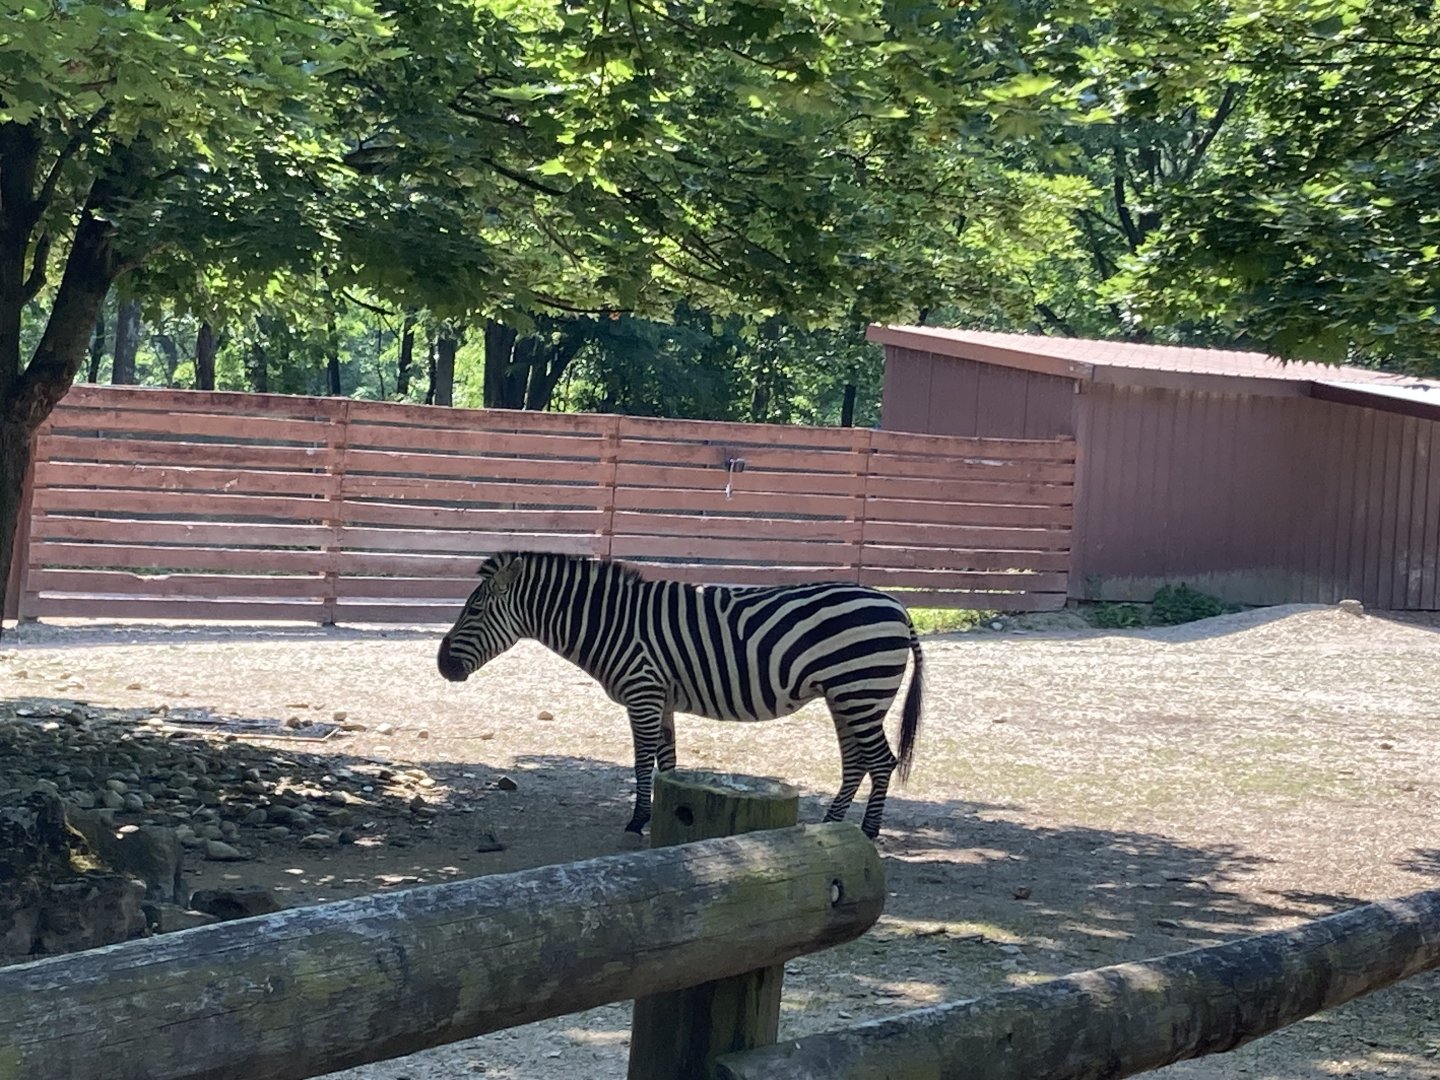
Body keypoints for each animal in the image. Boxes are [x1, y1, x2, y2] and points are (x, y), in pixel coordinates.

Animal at [436, 550, 923, 839]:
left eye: (474, 610)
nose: (442, 666)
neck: (611, 623)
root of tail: (897, 606)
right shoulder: (662, 698)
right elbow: (667, 765)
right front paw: (670, 814)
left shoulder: (643, 692)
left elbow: (641, 763)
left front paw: (637, 822)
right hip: (845, 696)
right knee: (856, 762)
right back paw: (830, 828)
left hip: (860, 690)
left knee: (881, 761)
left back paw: (866, 833)